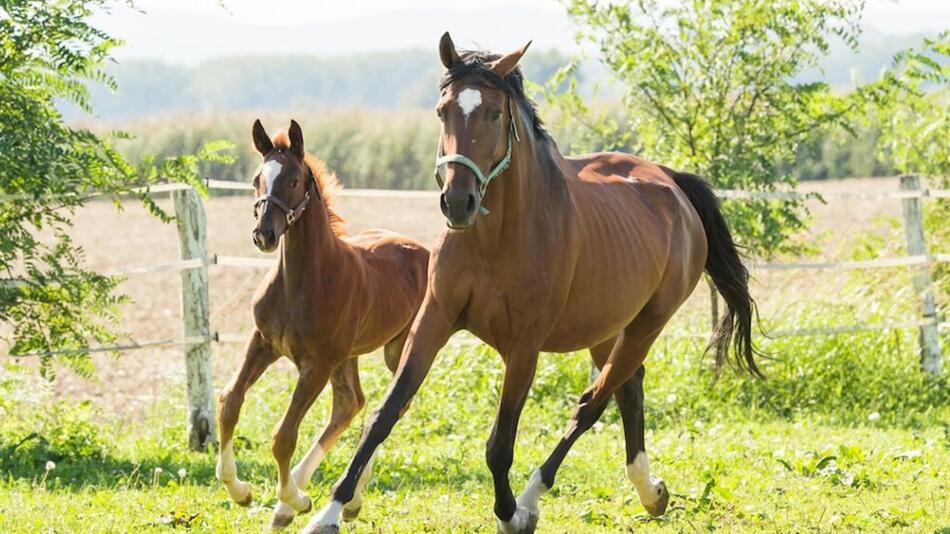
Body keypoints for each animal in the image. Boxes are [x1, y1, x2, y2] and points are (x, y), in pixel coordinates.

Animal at [218, 120, 430, 532]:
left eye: (294, 180)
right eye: (256, 179)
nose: (264, 235)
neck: (302, 281)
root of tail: (426, 251)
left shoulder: (316, 363)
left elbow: (283, 435)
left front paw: (295, 499)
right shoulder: (262, 342)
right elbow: (229, 402)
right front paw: (241, 491)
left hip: (395, 350)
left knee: (390, 406)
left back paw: (339, 500)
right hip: (347, 356)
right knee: (351, 404)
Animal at [308, 34, 764, 534]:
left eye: (494, 113)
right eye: (442, 110)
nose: (458, 202)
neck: (495, 238)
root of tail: (674, 186)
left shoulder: (524, 347)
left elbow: (499, 444)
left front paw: (511, 515)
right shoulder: (434, 320)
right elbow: (384, 415)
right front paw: (330, 512)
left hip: (647, 324)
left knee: (592, 404)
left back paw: (537, 498)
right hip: (605, 329)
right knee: (627, 389)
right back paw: (651, 492)